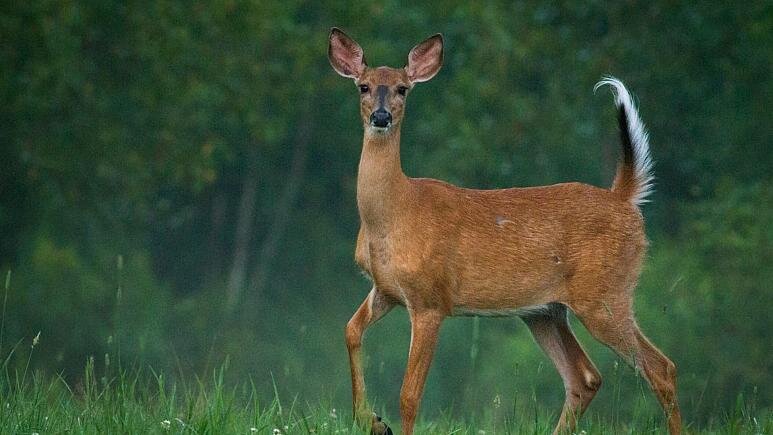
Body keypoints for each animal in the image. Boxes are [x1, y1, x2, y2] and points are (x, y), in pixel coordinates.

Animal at [328, 28, 680, 435]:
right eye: (363, 86)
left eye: (402, 89)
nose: (381, 117)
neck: (394, 212)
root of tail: (624, 197)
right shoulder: (385, 289)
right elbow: (350, 331)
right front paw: (371, 420)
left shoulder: (432, 299)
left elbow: (409, 395)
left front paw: (381, 420)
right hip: (545, 311)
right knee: (586, 377)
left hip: (605, 294)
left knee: (660, 367)